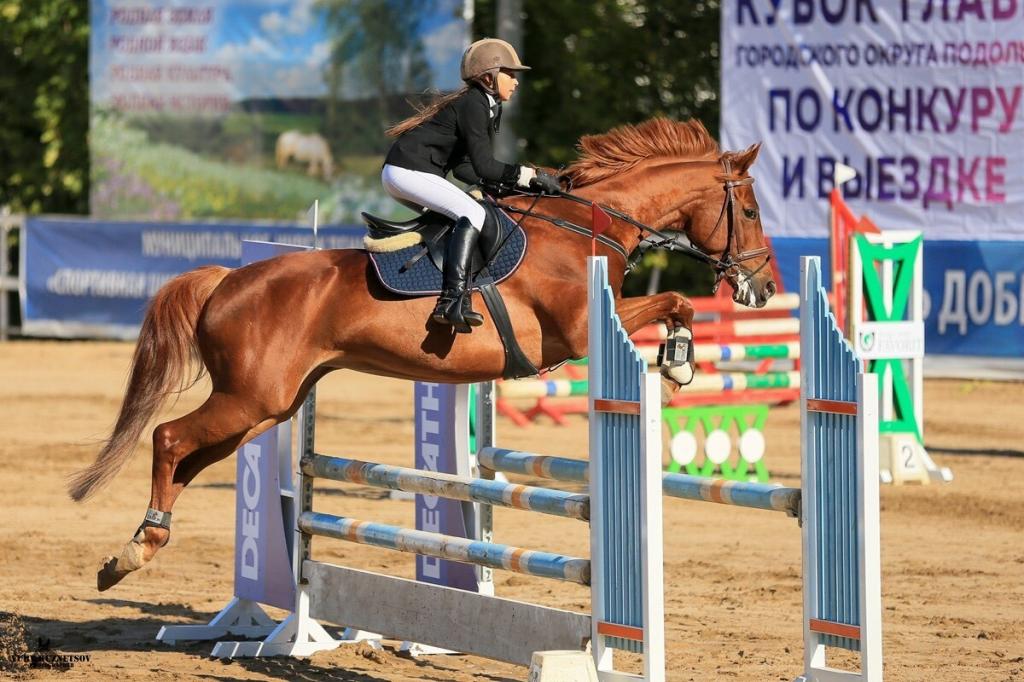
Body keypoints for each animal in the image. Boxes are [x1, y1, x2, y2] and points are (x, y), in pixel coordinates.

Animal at [70, 114, 774, 585]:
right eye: (751, 210)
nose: (763, 287)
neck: (584, 228)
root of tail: (228, 280)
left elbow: (676, 303)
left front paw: (679, 357)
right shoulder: (578, 332)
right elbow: (676, 302)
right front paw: (678, 360)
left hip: (267, 407)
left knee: (189, 457)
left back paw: (137, 547)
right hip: (250, 399)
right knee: (169, 439)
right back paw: (135, 549)